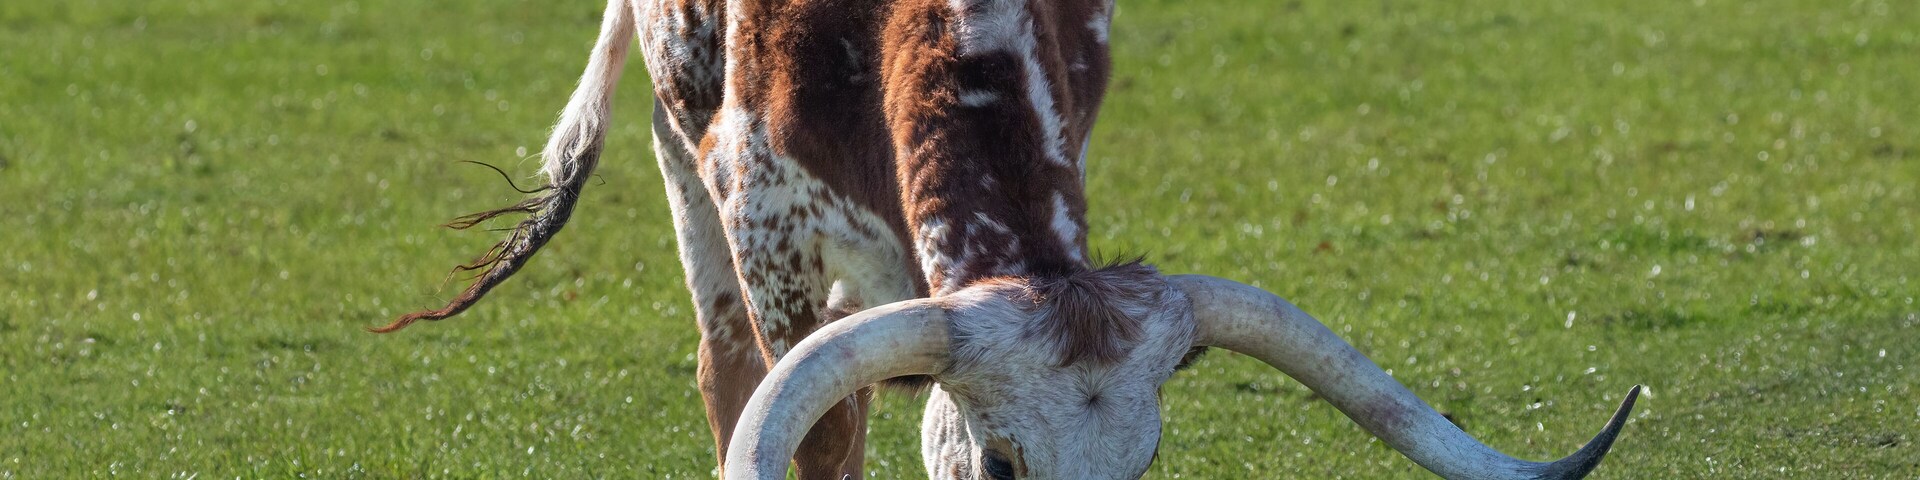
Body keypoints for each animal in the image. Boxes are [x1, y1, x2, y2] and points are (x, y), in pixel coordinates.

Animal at [372, 0, 1640, 478]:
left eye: (1143, 463)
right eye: (1004, 466)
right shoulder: (763, 213)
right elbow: (817, 431)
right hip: (685, 154)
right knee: (728, 372)